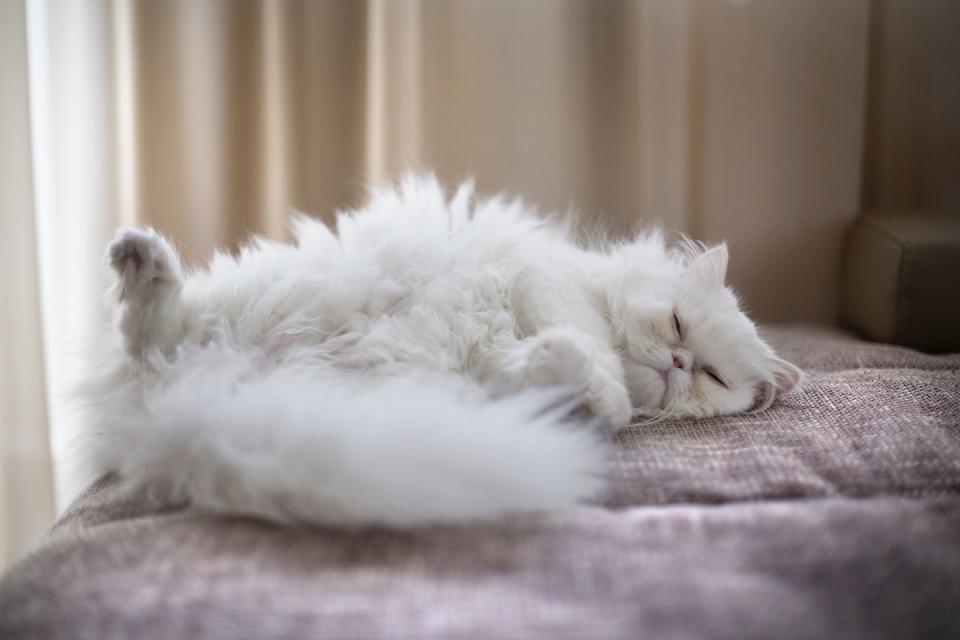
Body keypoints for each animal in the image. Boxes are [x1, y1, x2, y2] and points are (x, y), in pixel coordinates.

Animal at [79, 174, 804, 524]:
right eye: (678, 327)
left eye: (713, 377)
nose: (679, 364)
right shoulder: (550, 280)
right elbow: (591, 345)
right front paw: (604, 387)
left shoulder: (496, 361)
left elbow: (549, 368)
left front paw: (573, 380)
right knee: (150, 332)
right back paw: (141, 257)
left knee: (150, 340)